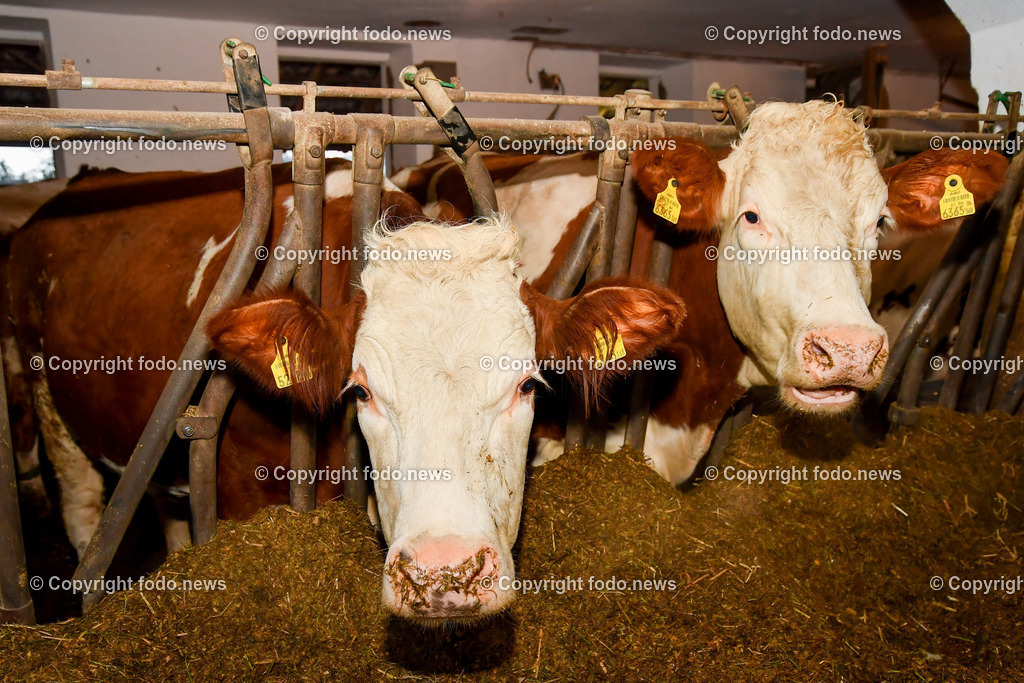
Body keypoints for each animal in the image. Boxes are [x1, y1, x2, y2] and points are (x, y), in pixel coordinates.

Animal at [6, 162, 686, 624]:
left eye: (528, 383)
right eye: (360, 392)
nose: (445, 574)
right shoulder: (239, 483)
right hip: (43, 390)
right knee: (83, 507)